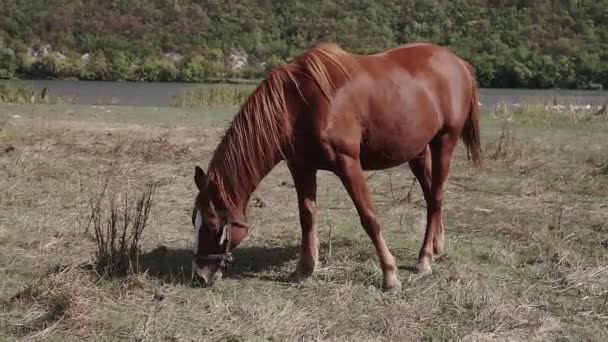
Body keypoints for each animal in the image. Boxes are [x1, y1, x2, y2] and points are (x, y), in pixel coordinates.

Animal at [190, 42, 480, 292]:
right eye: (194, 221)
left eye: (214, 227)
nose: (200, 275)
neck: (298, 105)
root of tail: (459, 63)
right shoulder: (301, 166)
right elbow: (307, 216)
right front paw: (304, 269)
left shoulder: (347, 162)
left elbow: (369, 218)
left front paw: (390, 275)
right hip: (418, 151)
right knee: (431, 196)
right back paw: (436, 247)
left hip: (445, 141)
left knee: (436, 197)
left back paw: (424, 259)